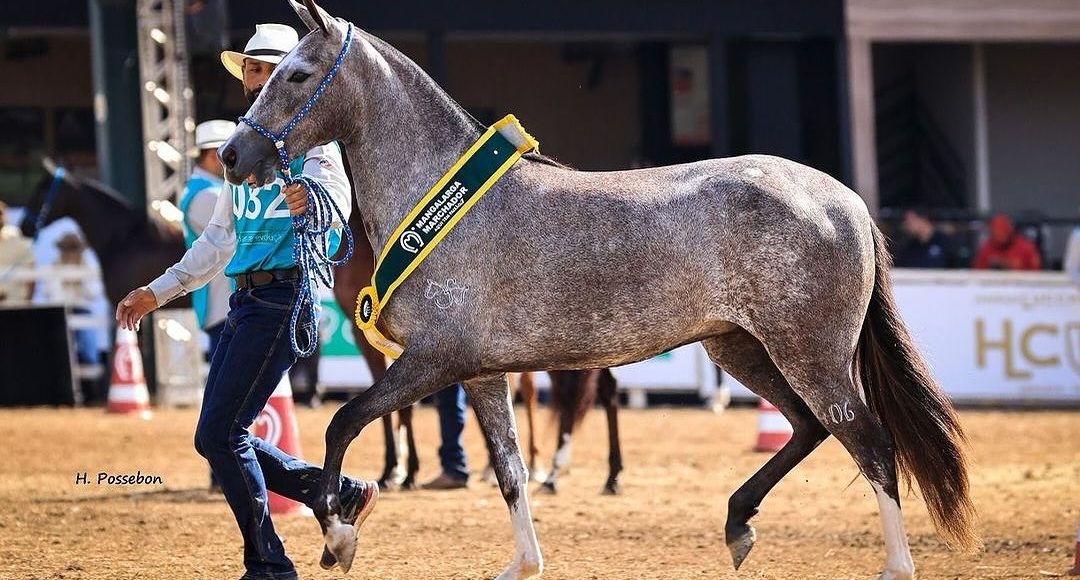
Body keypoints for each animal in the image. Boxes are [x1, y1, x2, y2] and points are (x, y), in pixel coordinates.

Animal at [219, 2, 980, 574]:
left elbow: (343, 421)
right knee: (807, 427)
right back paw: (737, 524)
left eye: (297, 75)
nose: (232, 154)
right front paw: (522, 564)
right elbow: (510, 472)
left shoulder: (432, 361)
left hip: (811, 352)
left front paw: (339, 537)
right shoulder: (481, 372)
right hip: (740, 347)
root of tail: (842, 199)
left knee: (871, 445)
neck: (443, 200)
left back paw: (892, 566)